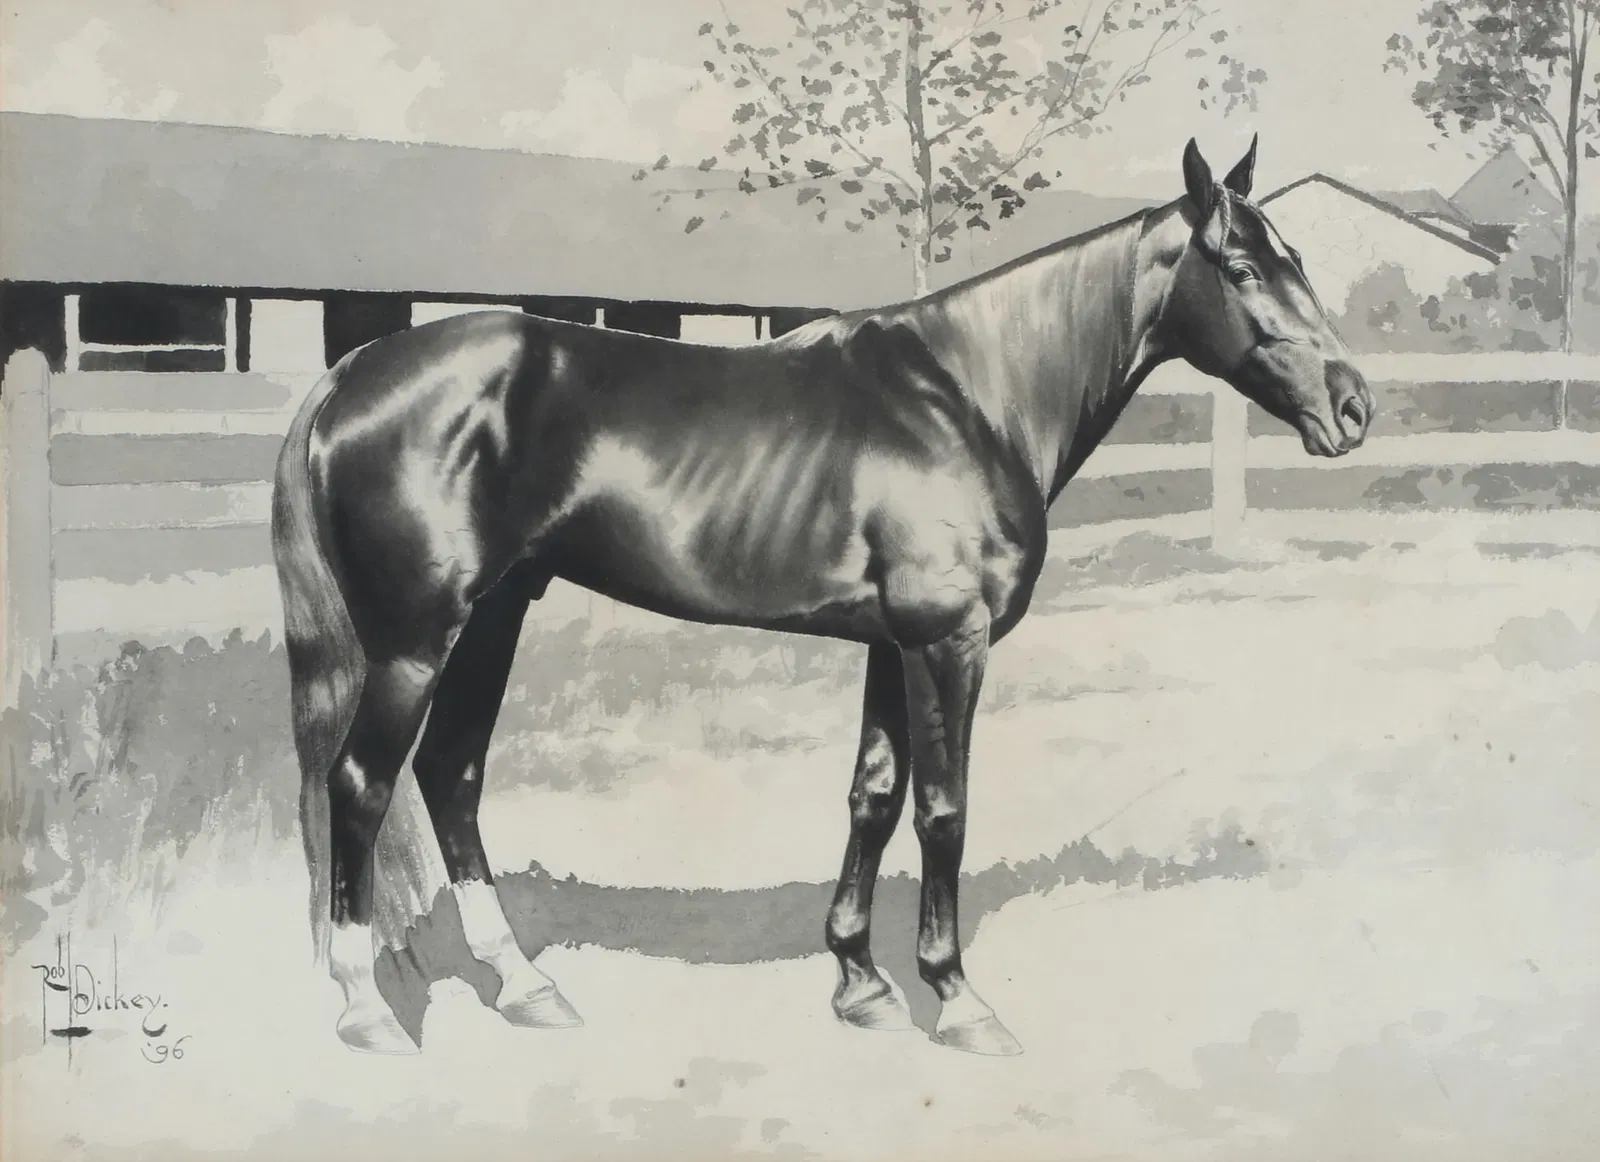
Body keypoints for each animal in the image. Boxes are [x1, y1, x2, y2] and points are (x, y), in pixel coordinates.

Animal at [271, 136, 1373, 1058]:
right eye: (1241, 268)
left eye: (1299, 260)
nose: (1353, 406)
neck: (969, 396)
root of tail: (353, 371)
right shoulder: (948, 640)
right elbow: (942, 811)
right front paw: (955, 998)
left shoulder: (892, 643)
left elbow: (872, 797)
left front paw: (859, 982)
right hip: (418, 637)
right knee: (362, 784)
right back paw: (367, 1008)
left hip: (495, 614)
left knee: (451, 774)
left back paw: (527, 986)